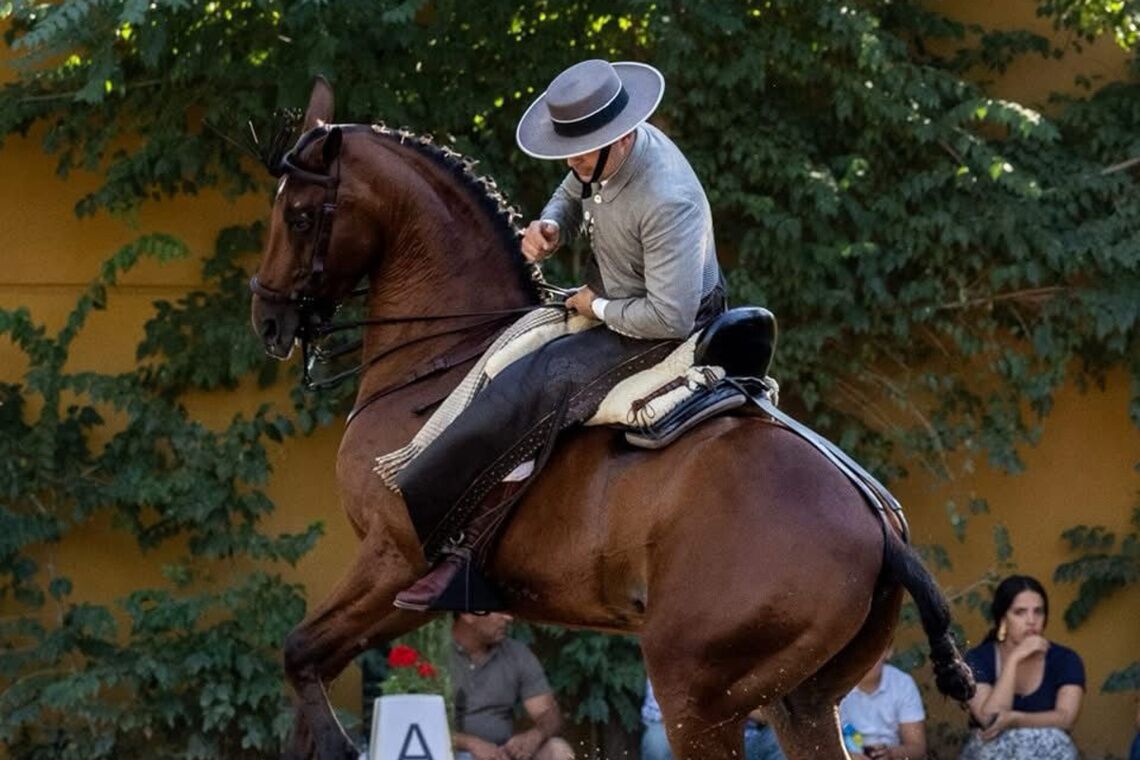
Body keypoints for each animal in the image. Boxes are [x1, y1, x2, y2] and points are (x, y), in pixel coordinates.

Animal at [251, 78, 971, 760]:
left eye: (301, 215)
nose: (269, 320)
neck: (443, 353)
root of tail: (879, 528)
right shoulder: (401, 586)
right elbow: (307, 665)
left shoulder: (393, 559)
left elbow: (299, 654)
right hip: (800, 702)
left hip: (697, 695)